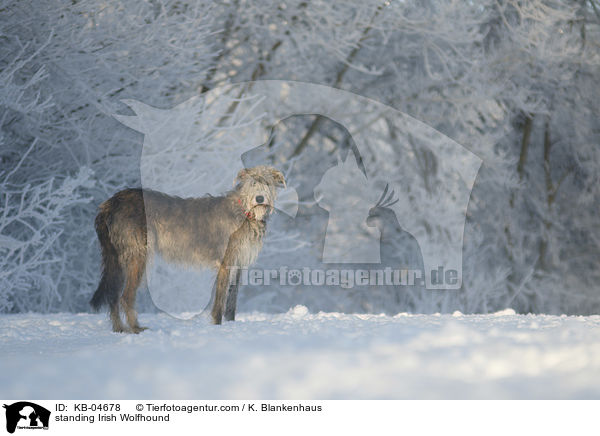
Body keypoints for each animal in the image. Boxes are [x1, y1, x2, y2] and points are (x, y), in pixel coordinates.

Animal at [89, 165, 286, 332]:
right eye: (253, 183)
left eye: (267, 183)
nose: (259, 199)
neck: (244, 211)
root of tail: (110, 203)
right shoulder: (225, 262)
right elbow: (220, 302)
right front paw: (217, 327)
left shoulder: (238, 263)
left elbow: (231, 300)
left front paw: (231, 326)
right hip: (137, 255)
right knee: (126, 296)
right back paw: (136, 328)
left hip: (117, 257)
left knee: (113, 294)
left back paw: (120, 329)